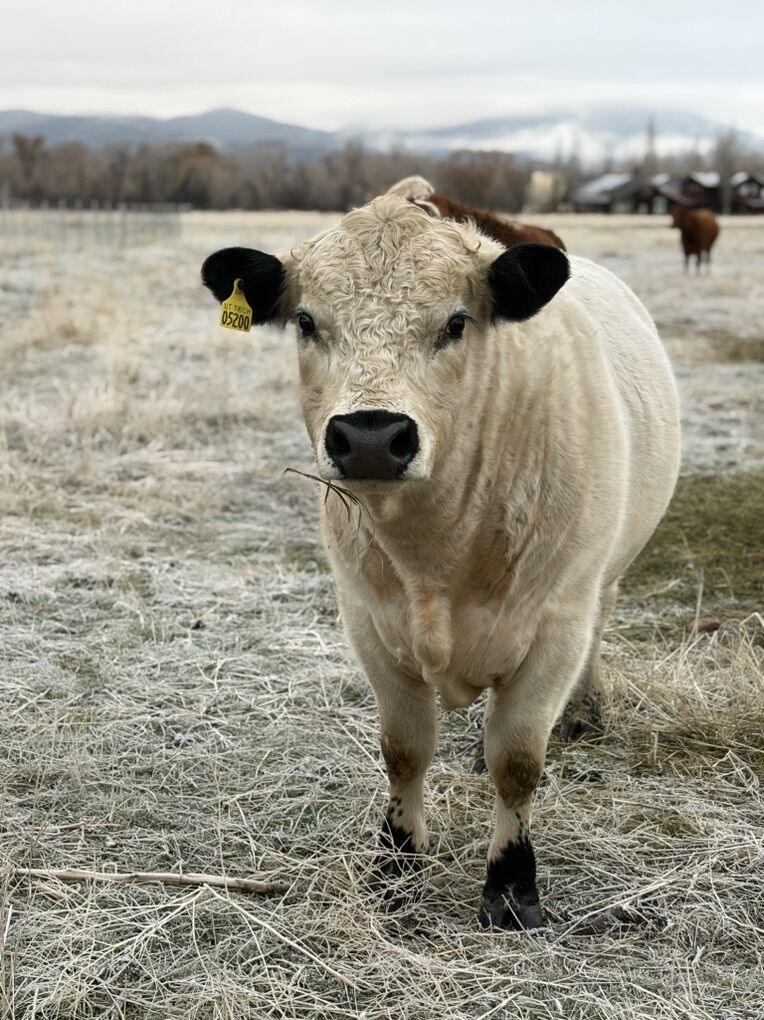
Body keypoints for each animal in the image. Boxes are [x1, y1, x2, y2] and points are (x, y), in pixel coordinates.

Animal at [201, 191, 680, 929]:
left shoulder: (555, 626)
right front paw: (398, 867)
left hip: (603, 581)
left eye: (456, 322)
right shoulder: (370, 621)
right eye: (307, 321)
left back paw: (583, 711)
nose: (371, 437)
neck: (437, 556)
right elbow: (405, 750)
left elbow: (518, 758)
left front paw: (511, 887)